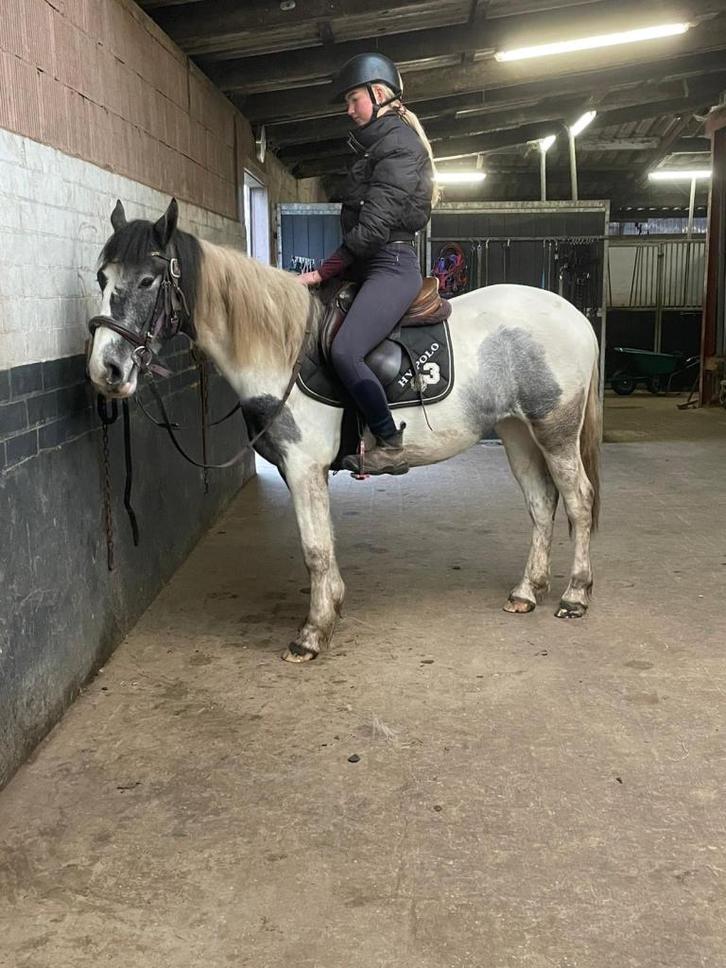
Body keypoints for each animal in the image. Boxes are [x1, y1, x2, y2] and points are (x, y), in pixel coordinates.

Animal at [87, 199, 601, 663]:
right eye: (102, 279)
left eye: (148, 280)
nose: (106, 370)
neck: (283, 349)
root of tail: (574, 315)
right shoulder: (305, 470)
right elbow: (326, 543)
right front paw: (332, 608)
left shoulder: (303, 466)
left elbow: (314, 548)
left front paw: (312, 634)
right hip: (516, 431)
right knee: (542, 503)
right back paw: (527, 591)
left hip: (555, 431)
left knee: (578, 501)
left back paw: (575, 595)